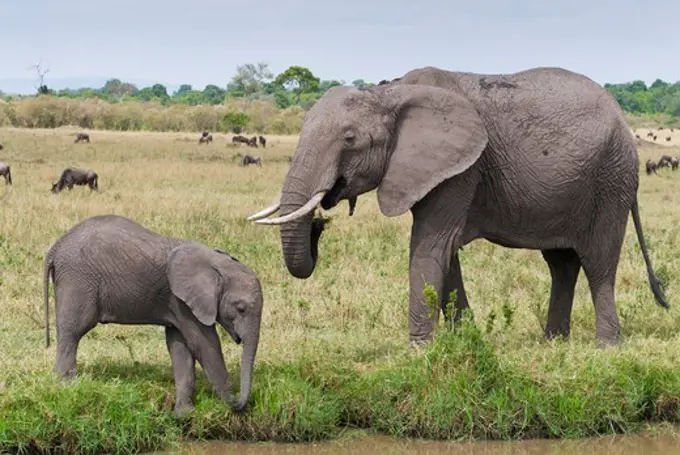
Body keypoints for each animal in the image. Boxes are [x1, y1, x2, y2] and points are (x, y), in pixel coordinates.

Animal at [43, 216, 262, 416]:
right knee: (73, 331)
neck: (216, 263)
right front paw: (227, 403)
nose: (240, 403)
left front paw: (183, 415)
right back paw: (67, 388)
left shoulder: (177, 303)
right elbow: (204, 343)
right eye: (241, 309)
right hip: (77, 279)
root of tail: (55, 247)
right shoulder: (180, 299)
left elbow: (179, 345)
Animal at [246, 66, 668, 348]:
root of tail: (622, 117)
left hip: (611, 179)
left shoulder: (462, 169)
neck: (390, 92)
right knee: (561, 263)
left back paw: (606, 346)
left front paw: (418, 350)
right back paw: (553, 342)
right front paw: (466, 340)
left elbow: (429, 246)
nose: (319, 224)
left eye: (349, 139)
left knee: (598, 263)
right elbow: (445, 255)